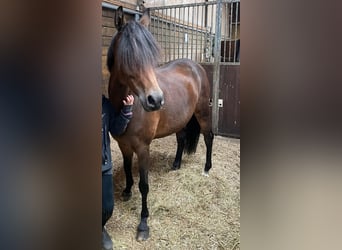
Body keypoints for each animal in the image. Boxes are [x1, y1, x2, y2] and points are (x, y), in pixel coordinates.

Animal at [107, 5, 214, 240]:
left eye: (150, 57)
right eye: (127, 56)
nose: (155, 100)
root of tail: (195, 66)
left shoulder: (142, 148)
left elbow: (144, 185)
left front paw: (143, 224)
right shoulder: (124, 145)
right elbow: (127, 169)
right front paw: (126, 191)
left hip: (203, 113)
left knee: (209, 137)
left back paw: (206, 169)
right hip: (180, 119)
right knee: (182, 138)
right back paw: (176, 165)